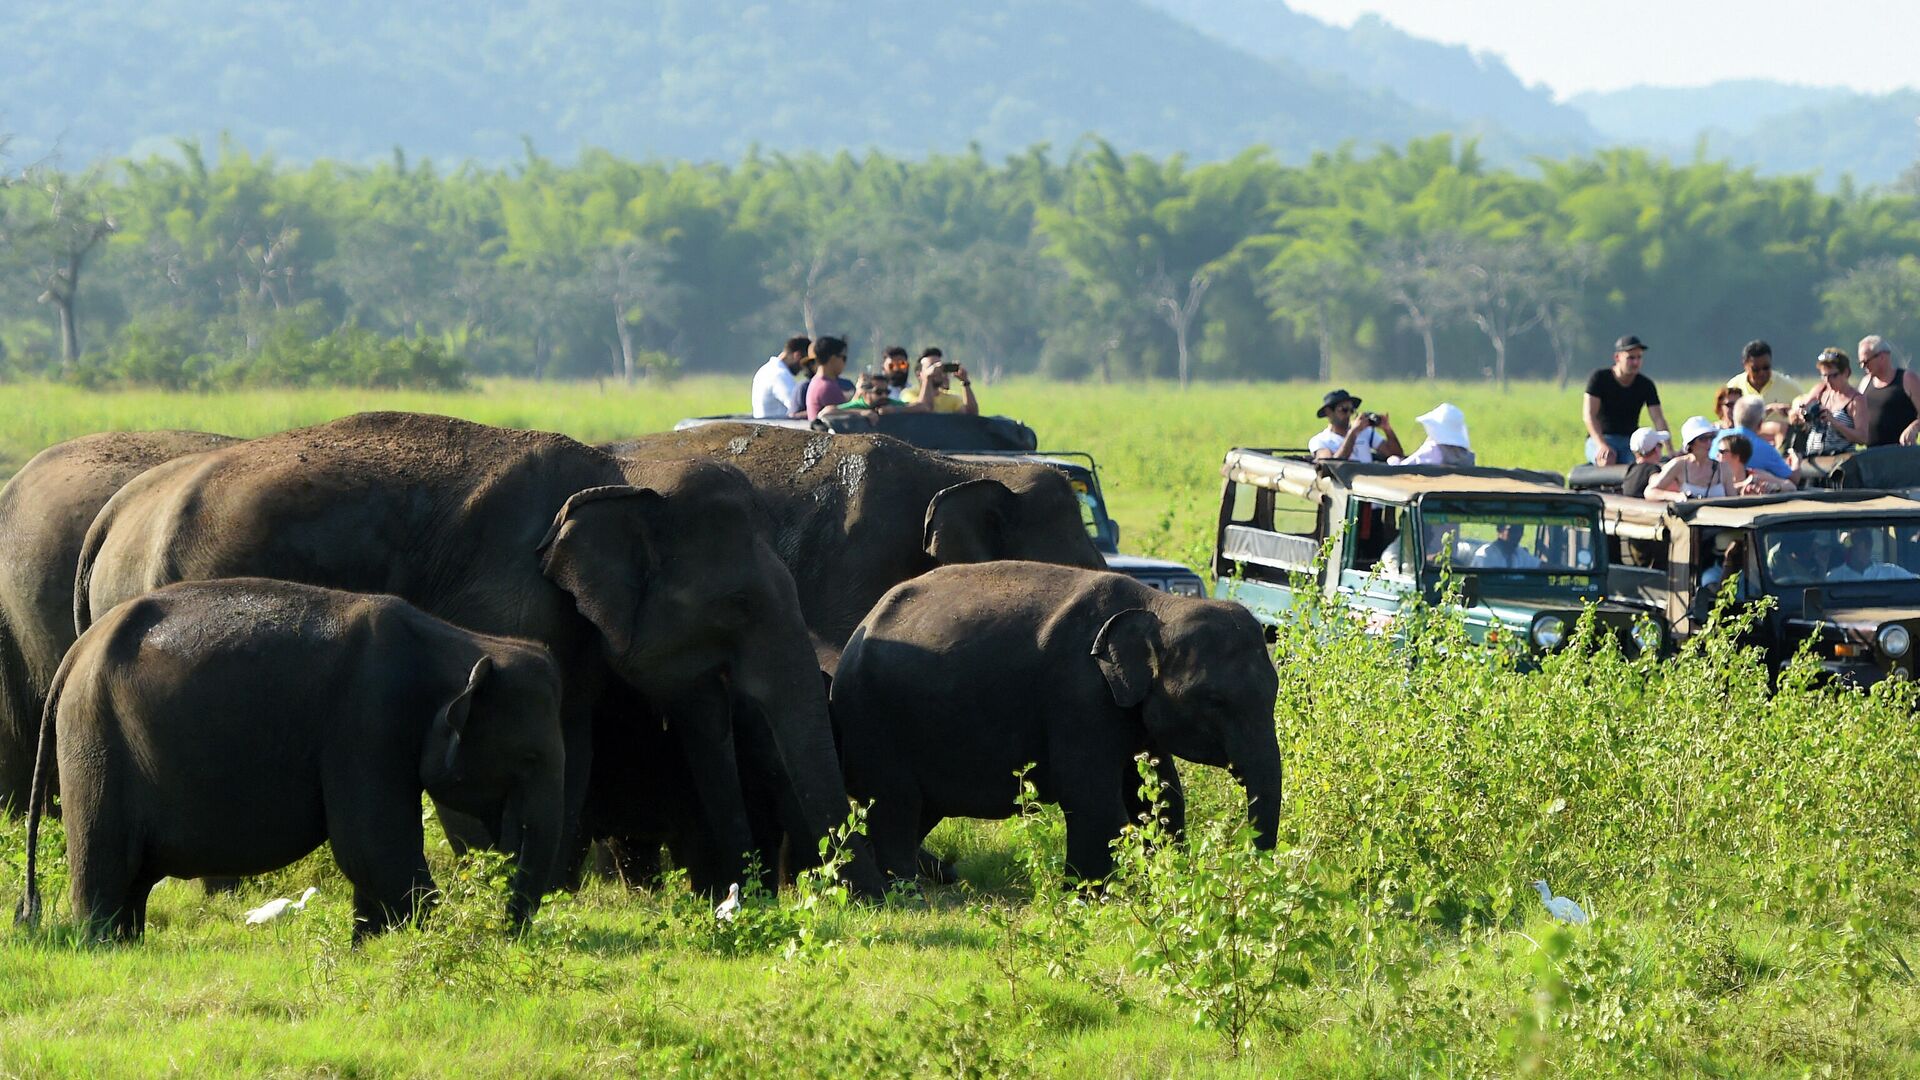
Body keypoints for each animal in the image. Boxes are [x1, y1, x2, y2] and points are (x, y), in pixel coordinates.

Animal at [18, 576, 564, 937]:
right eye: (530, 758)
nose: (505, 932)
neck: (456, 642)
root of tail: (75, 653)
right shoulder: (367, 723)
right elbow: (372, 845)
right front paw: (427, 939)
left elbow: (370, 853)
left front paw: (370, 949)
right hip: (95, 743)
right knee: (105, 872)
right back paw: (102, 946)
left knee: (131, 882)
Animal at [72, 407, 883, 895]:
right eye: (738, 607)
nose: (854, 894)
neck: (620, 478)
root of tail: (114, 516)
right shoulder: (505, 594)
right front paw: (502, 878)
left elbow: (571, 737)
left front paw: (548, 888)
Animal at [833, 557, 1282, 880]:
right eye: (1215, 701)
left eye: (1274, 691)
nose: (1252, 865)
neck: (1157, 606)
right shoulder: (1077, 694)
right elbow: (1090, 794)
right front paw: (1095, 896)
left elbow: (1160, 792)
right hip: (872, 721)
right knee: (896, 804)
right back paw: (906, 889)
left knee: (919, 809)